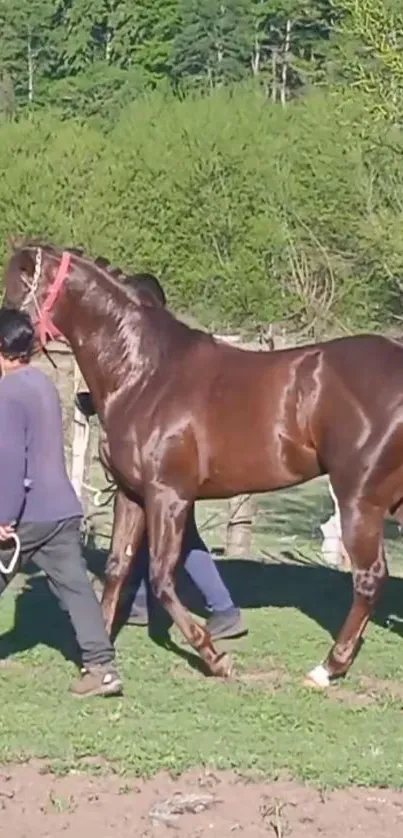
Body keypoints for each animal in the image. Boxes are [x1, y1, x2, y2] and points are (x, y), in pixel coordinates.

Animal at [3, 241, 403, 688]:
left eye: (16, 287)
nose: (9, 342)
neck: (144, 375)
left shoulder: (169, 496)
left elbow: (161, 578)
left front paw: (216, 659)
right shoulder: (132, 493)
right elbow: (117, 567)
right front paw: (99, 663)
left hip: (358, 501)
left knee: (369, 578)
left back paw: (327, 667)